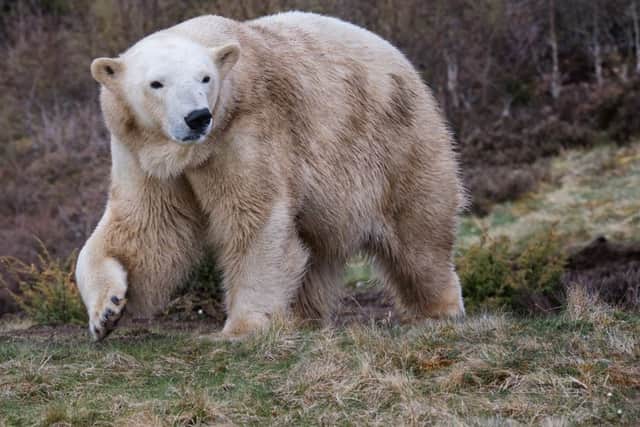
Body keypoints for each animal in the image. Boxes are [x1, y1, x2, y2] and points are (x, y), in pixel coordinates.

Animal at [76, 11, 466, 341]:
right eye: (157, 83)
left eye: (205, 78)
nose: (198, 117)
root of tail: (404, 61)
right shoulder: (142, 153)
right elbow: (146, 228)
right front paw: (106, 312)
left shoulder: (245, 129)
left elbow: (254, 216)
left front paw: (244, 327)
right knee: (315, 249)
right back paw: (302, 317)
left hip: (396, 143)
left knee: (418, 235)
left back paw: (439, 308)